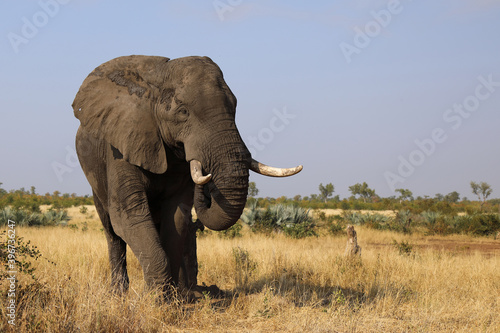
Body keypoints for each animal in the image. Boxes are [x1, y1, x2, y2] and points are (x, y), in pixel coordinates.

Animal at [72, 55, 302, 296]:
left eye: (235, 106)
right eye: (182, 112)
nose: (206, 180)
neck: (158, 75)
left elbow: (176, 218)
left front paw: (173, 298)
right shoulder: (121, 146)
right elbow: (129, 216)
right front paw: (155, 299)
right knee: (112, 231)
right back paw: (118, 294)